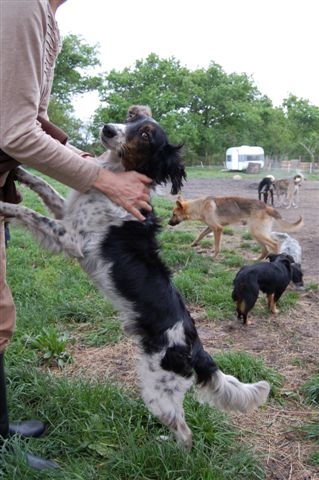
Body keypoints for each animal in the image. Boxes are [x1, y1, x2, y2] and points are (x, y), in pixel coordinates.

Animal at [0, 107, 270, 448]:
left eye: (144, 135)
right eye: (132, 116)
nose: (108, 128)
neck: (116, 175)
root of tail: (197, 350)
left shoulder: (70, 238)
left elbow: (30, 214)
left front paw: (2, 204)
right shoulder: (67, 213)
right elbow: (45, 187)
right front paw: (21, 173)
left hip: (159, 391)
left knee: (186, 433)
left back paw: (171, 453)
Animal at [169, 196, 304, 258]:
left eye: (174, 214)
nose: (168, 223)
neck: (200, 206)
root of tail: (267, 207)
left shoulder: (217, 229)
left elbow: (216, 246)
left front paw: (213, 256)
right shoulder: (210, 227)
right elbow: (200, 234)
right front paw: (193, 244)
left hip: (257, 232)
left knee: (275, 244)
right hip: (256, 234)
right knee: (265, 250)